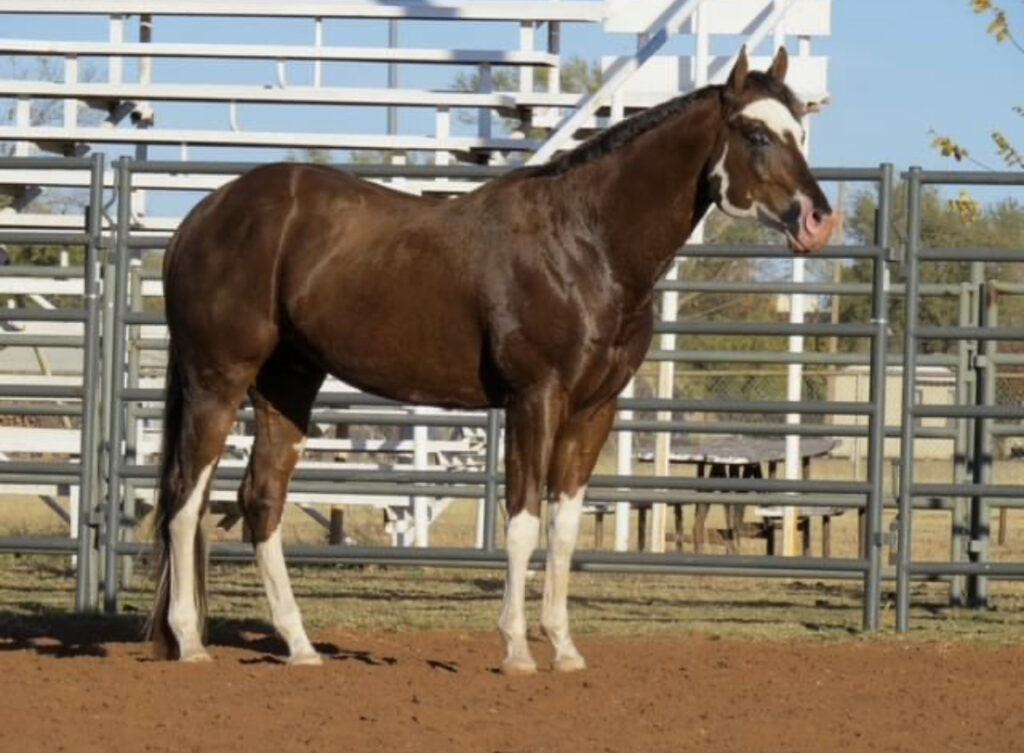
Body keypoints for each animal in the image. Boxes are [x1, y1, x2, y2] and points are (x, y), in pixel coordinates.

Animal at [149, 47, 831, 672]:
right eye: (755, 133)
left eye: (801, 130)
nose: (818, 220)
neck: (586, 242)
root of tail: (204, 215)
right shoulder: (536, 398)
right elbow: (523, 520)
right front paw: (517, 651)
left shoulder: (594, 412)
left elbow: (563, 528)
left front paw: (564, 650)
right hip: (218, 380)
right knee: (186, 498)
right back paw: (188, 642)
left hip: (288, 383)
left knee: (261, 498)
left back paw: (299, 646)